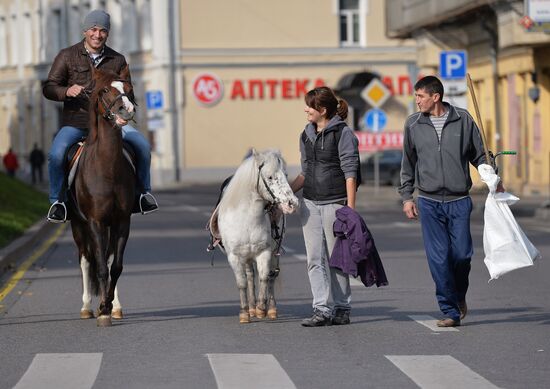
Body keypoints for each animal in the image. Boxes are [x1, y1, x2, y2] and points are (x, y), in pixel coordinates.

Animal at [71, 65, 137, 326]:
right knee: (86, 259)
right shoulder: (95, 222)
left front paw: (108, 305)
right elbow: (98, 267)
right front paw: (101, 310)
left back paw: (114, 306)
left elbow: (115, 266)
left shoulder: (122, 221)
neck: (107, 168)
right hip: (78, 225)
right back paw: (86, 307)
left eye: (128, 88)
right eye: (105, 90)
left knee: (107, 260)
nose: (126, 108)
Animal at [211, 148, 300, 322]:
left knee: (271, 276)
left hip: (273, 252)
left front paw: (261, 308)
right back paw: (251, 308)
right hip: (246, 257)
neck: (247, 218)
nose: (292, 203)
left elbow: (265, 277)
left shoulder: (264, 252)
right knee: (250, 276)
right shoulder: (234, 256)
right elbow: (242, 283)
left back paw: (270, 309)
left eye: (286, 174)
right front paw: (245, 313)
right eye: (270, 177)